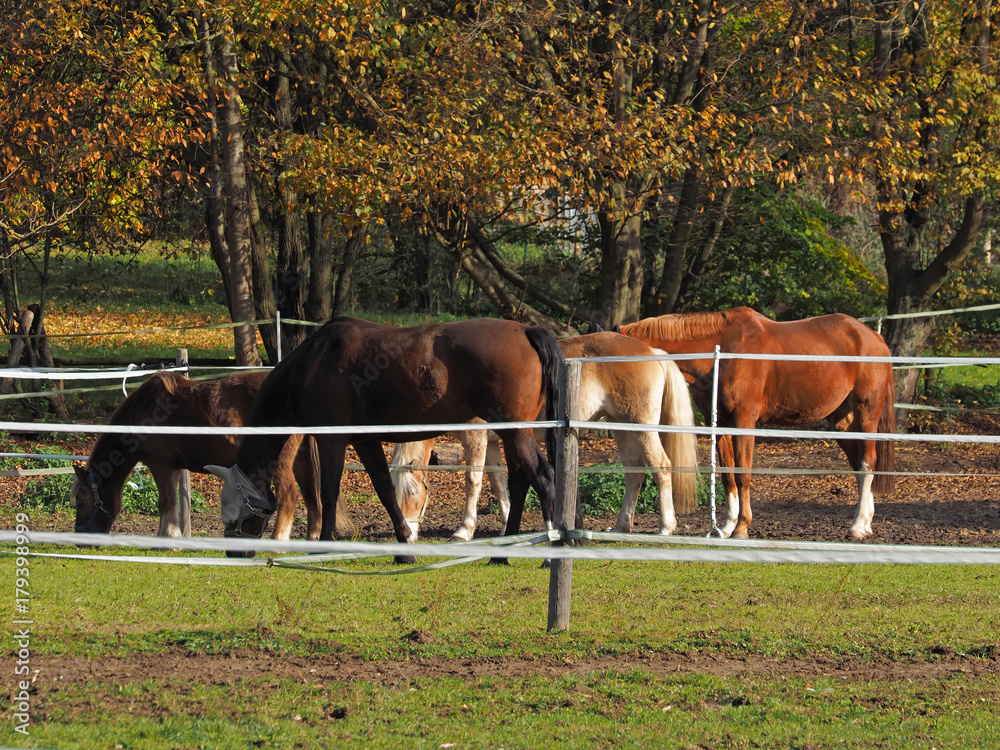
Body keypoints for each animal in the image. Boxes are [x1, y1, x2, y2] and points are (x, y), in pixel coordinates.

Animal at [71, 374, 352, 544]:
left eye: (81, 500)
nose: (80, 538)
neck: (143, 411)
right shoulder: (174, 468)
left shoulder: (161, 465)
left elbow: (166, 502)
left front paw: (167, 540)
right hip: (301, 460)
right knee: (311, 497)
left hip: (280, 462)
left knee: (289, 496)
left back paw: (278, 540)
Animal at [205, 314, 564, 560]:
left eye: (233, 510)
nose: (234, 552)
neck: (312, 363)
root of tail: (526, 331)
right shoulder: (365, 441)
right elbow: (386, 491)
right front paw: (404, 548)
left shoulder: (332, 440)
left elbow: (329, 493)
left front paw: (323, 548)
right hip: (513, 433)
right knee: (520, 481)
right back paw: (502, 555)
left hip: (514, 432)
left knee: (544, 477)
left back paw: (549, 555)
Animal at [386, 334, 700, 540]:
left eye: (413, 494)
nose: (408, 536)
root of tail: (650, 349)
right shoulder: (493, 443)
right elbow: (498, 482)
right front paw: (505, 524)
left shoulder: (476, 440)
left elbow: (473, 481)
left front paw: (464, 530)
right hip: (624, 430)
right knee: (634, 474)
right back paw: (622, 526)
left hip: (642, 428)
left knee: (662, 468)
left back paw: (665, 527)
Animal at [620, 308, 896, 544]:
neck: (722, 351)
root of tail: (873, 337)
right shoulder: (720, 424)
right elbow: (727, 476)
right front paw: (726, 527)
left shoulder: (744, 421)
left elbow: (743, 474)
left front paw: (742, 527)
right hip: (841, 421)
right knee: (859, 463)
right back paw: (866, 523)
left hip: (866, 413)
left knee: (868, 461)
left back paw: (858, 526)